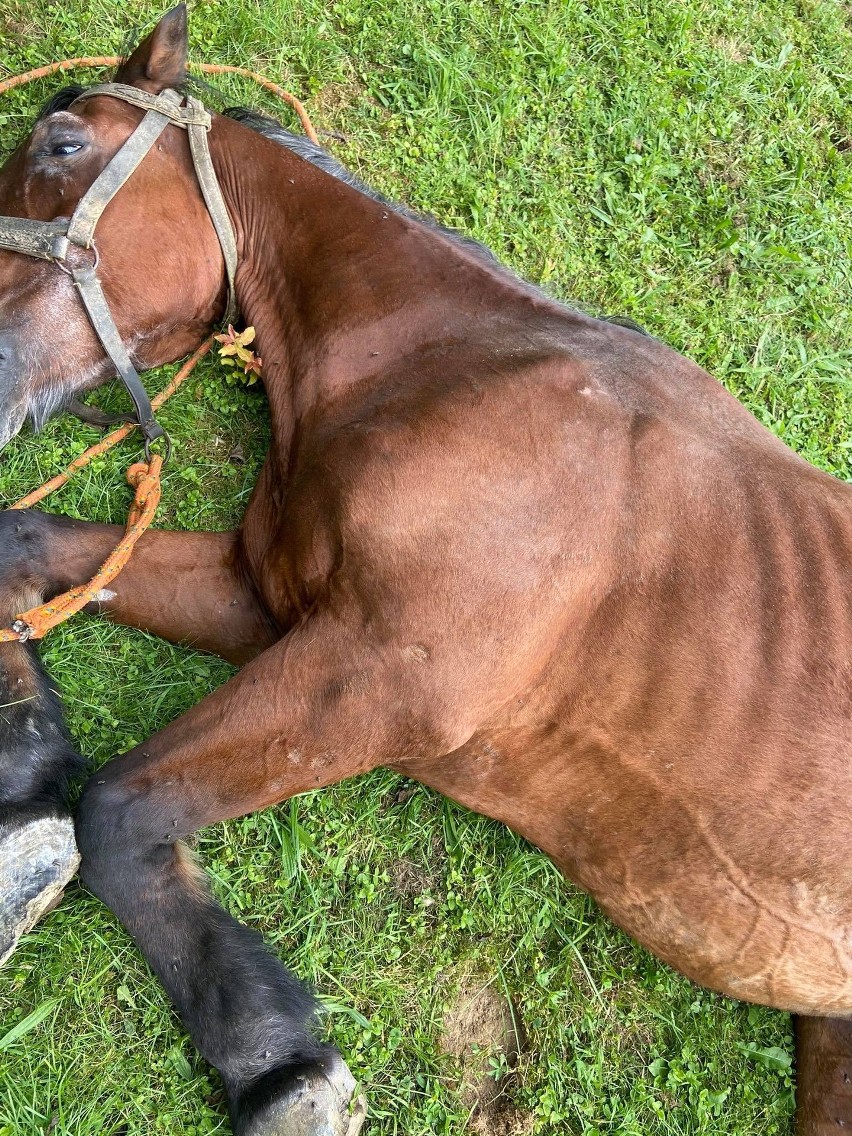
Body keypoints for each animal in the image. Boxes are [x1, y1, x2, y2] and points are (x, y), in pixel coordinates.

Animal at [0, 4, 849, 1131]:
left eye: (61, 147)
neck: (451, 371)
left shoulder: (386, 680)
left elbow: (120, 808)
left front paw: (278, 1066)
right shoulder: (265, 600)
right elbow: (19, 548)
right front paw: (23, 799)